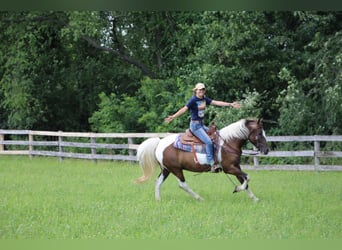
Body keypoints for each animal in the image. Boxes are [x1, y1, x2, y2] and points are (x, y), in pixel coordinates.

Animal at [135, 118, 268, 202]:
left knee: (158, 182)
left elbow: (244, 180)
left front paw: (255, 199)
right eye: (260, 133)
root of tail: (159, 143)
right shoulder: (229, 168)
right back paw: (199, 198)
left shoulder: (236, 167)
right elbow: (247, 177)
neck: (227, 142)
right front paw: (237, 189)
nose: (266, 150)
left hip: (166, 169)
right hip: (176, 169)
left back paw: (158, 200)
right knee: (182, 184)